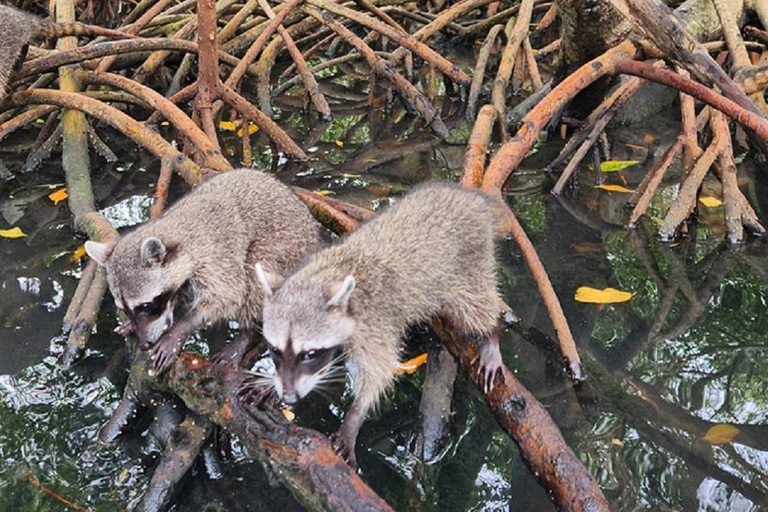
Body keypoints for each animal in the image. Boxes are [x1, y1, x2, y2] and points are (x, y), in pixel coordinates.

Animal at [85, 170, 320, 374]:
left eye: (145, 306)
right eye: (125, 309)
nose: (144, 344)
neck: (176, 230)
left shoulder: (216, 258)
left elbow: (227, 296)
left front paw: (181, 327)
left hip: (284, 252)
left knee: (256, 272)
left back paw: (251, 332)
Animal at [249, 182, 508, 466]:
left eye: (310, 353)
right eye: (275, 350)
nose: (290, 397)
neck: (322, 277)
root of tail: (470, 198)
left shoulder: (374, 323)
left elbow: (379, 371)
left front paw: (355, 415)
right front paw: (271, 383)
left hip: (468, 265)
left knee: (475, 305)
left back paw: (492, 332)